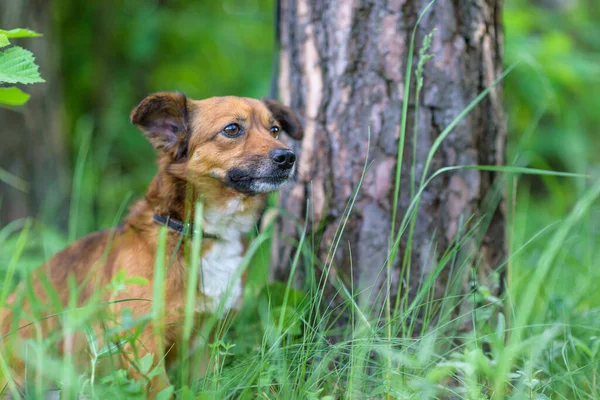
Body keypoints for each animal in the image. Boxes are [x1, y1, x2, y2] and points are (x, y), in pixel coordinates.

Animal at [0, 93, 300, 396]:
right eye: (232, 129)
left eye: (275, 130)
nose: (288, 156)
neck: (198, 234)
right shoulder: (142, 341)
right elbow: (161, 390)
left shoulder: (206, 340)